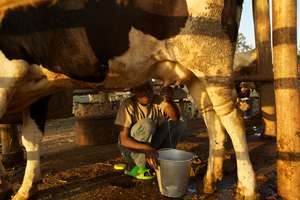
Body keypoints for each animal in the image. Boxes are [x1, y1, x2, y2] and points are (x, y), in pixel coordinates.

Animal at [0, 0, 256, 199]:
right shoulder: (38, 89)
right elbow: (31, 140)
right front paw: (26, 189)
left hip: (212, 59)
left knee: (234, 119)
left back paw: (247, 188)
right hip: (195, 72)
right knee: (213, 120)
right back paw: (211, 180)